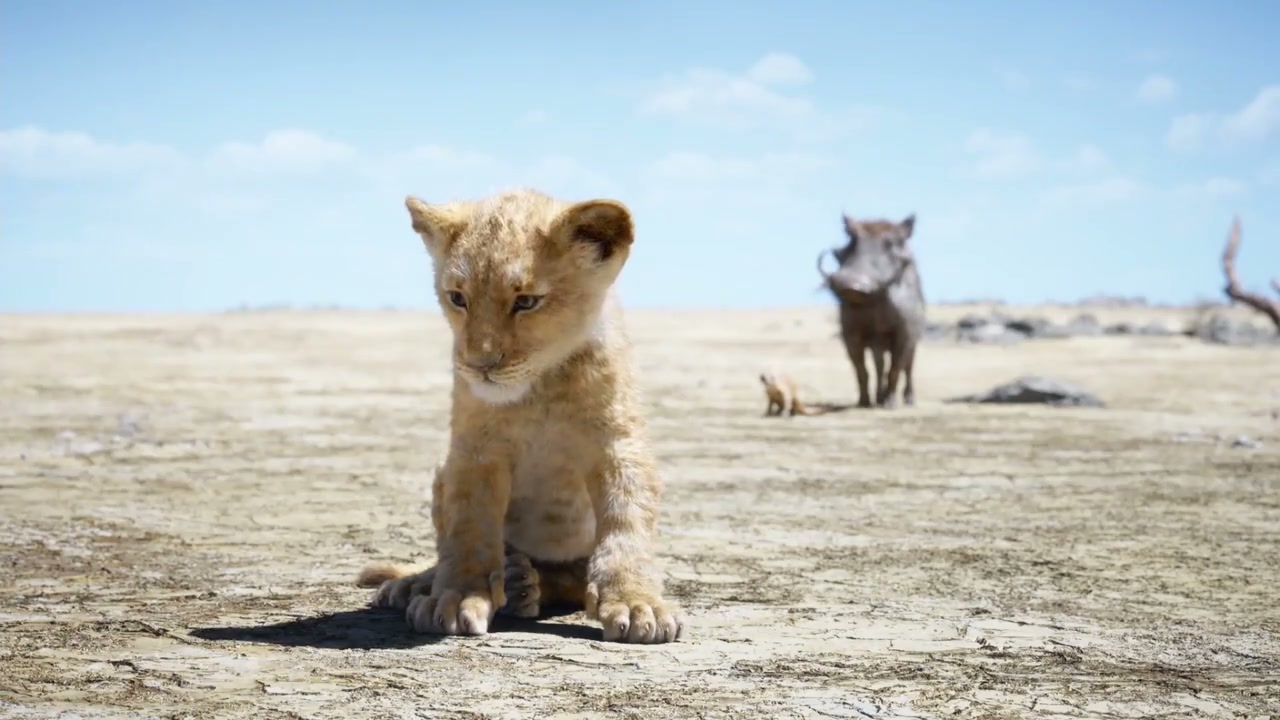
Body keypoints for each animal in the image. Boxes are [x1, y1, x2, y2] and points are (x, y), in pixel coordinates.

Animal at [355, 188, 685, 644]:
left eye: (526, 301)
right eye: (457, 298)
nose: (480, 365)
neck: (539, 388)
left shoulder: (619, 445)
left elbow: (626, 523)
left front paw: (638, 605)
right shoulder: (473, 451)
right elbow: (468, 527)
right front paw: (455, 599)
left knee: (571, 579)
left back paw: (524, 584)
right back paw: (425, 584)